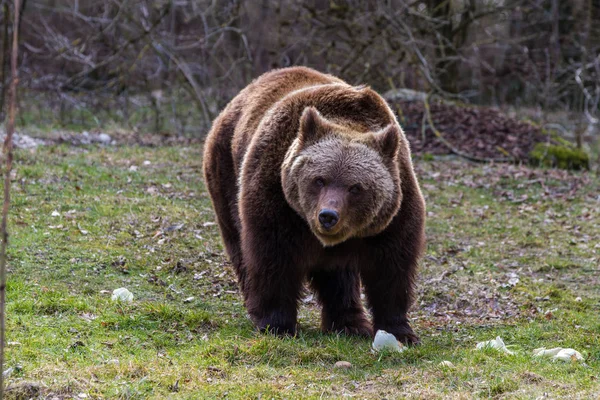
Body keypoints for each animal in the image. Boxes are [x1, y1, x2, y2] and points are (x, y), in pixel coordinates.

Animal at [203, 65, 426, 344]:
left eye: (356, 187)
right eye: (319, 179)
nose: (328, 216)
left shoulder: (394, 214)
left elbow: (391, 269)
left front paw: (400, 332)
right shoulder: (276, 198)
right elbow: (273, 258)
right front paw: (277, 324)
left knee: (339, 275)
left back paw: (350, 323)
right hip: (225, 173)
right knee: (239, 245)